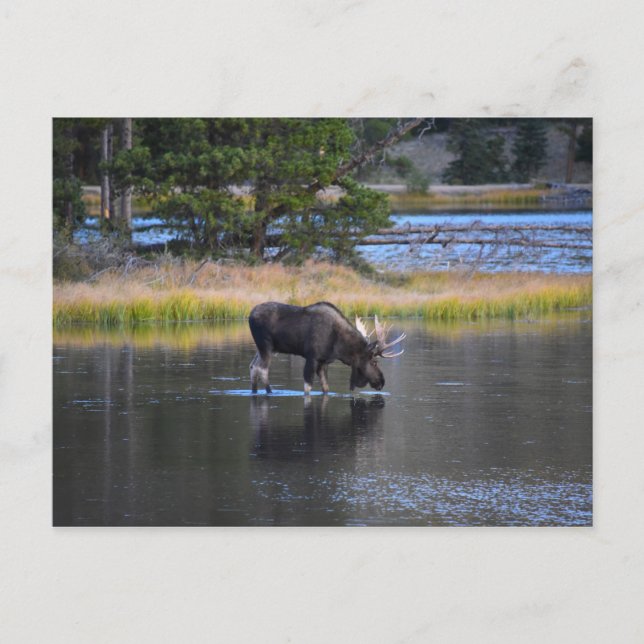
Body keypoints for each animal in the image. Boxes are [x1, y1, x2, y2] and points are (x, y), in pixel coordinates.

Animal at [248, 301, 405, 394]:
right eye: (374, 362)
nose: (382, 382)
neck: (340, 347)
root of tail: (249, 316)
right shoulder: (312, 358)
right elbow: (308, 388)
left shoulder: (323, 362)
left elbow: (326, 388)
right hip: (266, 345)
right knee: (262, 369)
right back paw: (269, 392)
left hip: (263, 349)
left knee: (253, 366)